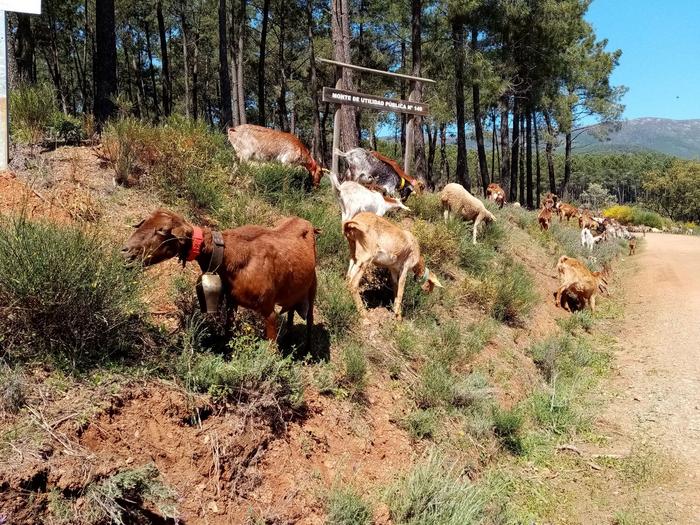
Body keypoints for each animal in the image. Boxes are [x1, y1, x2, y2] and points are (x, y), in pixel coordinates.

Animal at [123, 209, 318, 343]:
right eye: (143, 224)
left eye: (162, 231)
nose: (125, 251)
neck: (230, 255)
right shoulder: (232, 301)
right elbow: (228, 328)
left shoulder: (269, 311)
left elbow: (271, 349)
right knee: (291, 312)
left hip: (312, 288)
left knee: (309, 319)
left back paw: (307, 350)